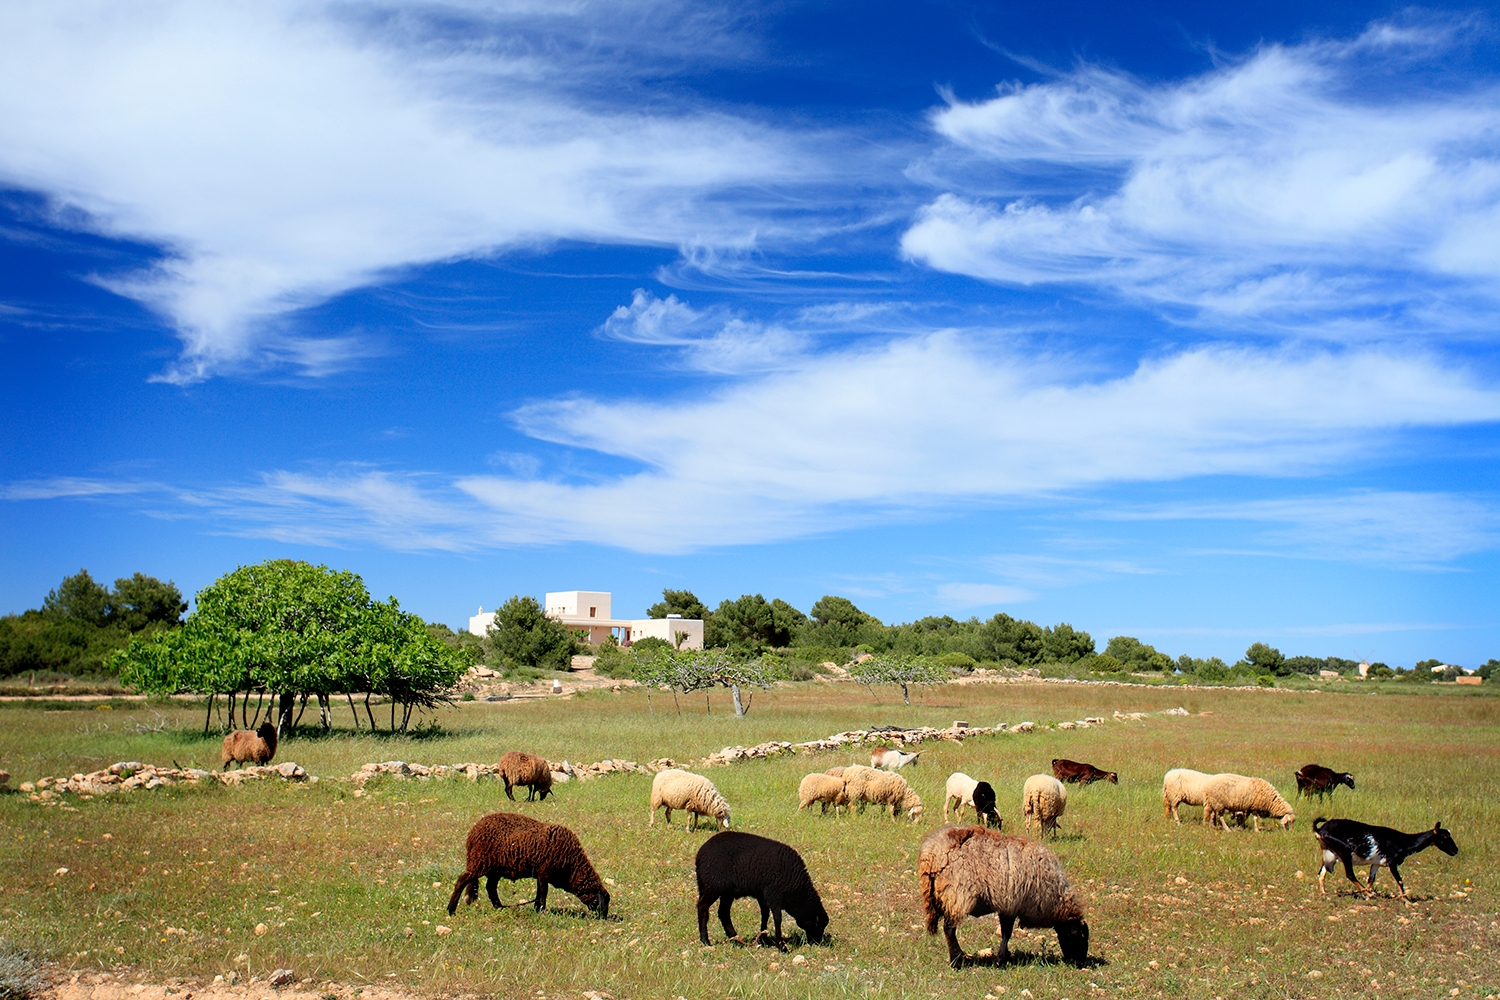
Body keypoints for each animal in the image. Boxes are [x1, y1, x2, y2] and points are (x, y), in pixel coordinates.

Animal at [444, 809, 609, 917]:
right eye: (602, 901)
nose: (603, 918)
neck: (572, 866)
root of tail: (473, 832)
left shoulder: (540, 874)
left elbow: (539, 893)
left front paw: (537, 910)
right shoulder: (544, 872)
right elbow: (543, 894)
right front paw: (542, 911)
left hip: (494, 869)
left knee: (490, 887)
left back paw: (500, 907)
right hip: (480, 862)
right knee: (462, 880)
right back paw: (451, 910)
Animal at [693, 833, 828, 953]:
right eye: (819, 925)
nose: (818, 942)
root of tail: (700, 854)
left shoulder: (763, 896)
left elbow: (765, 915)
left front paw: (764, 939)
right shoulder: (774, 894)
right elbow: (777, 919)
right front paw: (781, 946)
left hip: (727, 892)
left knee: (723, 913)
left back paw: (735, 939)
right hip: (713, 886)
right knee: (702, 906)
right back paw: (705, 940)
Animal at [1320, 815, 1458, 905]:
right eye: (1445, 836)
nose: (1455, 850)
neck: (1403, 841)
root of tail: (1321, 829)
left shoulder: (1376, 863)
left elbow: (1371, 879)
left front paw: (1366, 895)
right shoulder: (1392, 862)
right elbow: (1400, 881)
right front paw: (1406, 900)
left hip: (1330, 855)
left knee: (1321, 873)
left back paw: (1324, 893)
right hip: (1344, 854)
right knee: (1349, 874)